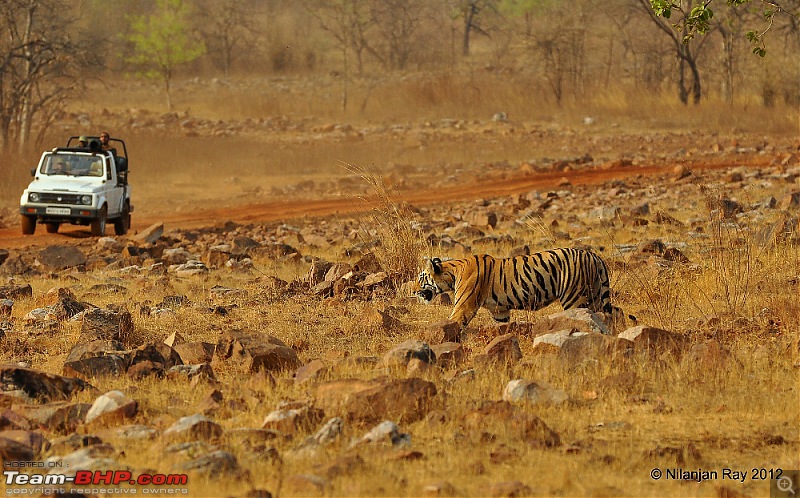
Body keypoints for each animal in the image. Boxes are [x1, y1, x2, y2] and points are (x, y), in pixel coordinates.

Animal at [416, 247, 628, 332]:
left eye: (420, 279)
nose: (414, 292)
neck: (452, 272)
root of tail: (594, 255)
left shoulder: (464, 307)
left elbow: (453, 322)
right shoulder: (499, 310)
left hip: (575, 297)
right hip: (595, 295)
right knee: (616, 311)